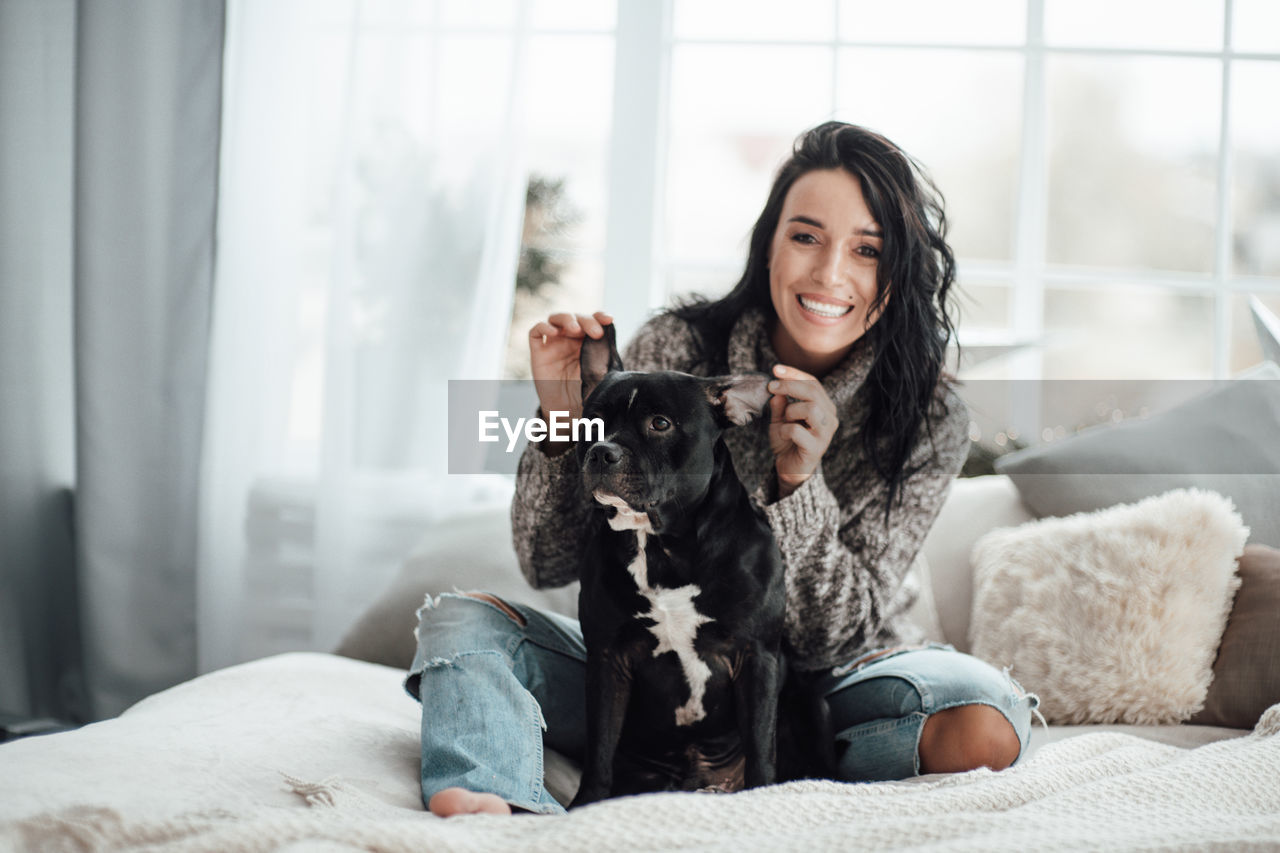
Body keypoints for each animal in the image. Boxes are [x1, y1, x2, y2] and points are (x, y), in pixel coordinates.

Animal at [573, 325, 788, 804]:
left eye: (660, 424)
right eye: (590, 421)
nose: (601, 451)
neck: (663, 546)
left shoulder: (758, 657)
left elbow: (762, 748)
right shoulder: (607, 660)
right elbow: (598, 749)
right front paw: (585, 804)